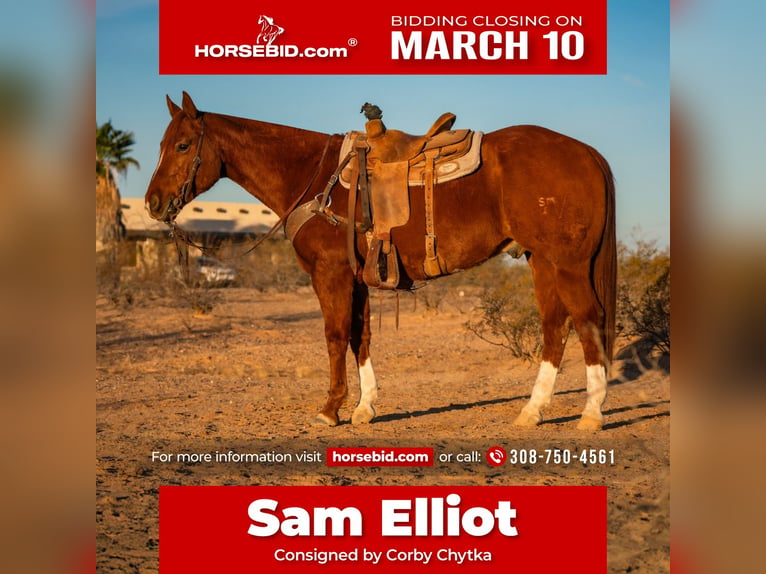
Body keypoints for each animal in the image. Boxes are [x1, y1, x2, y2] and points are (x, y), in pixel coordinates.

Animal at [147, 92, 620, 430]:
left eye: (183, 145)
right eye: (162, 144)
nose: (153, 202)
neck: (311, 176)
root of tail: (587, 153)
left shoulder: (331, 274)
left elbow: (336, 336)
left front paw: (330, 409)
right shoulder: (356, 279)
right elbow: (362, 337)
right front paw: (364, 407)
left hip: (568, 264)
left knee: (586, 319)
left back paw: (591, 413)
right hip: (542, 262)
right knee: (554, 327)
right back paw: (531, 411)